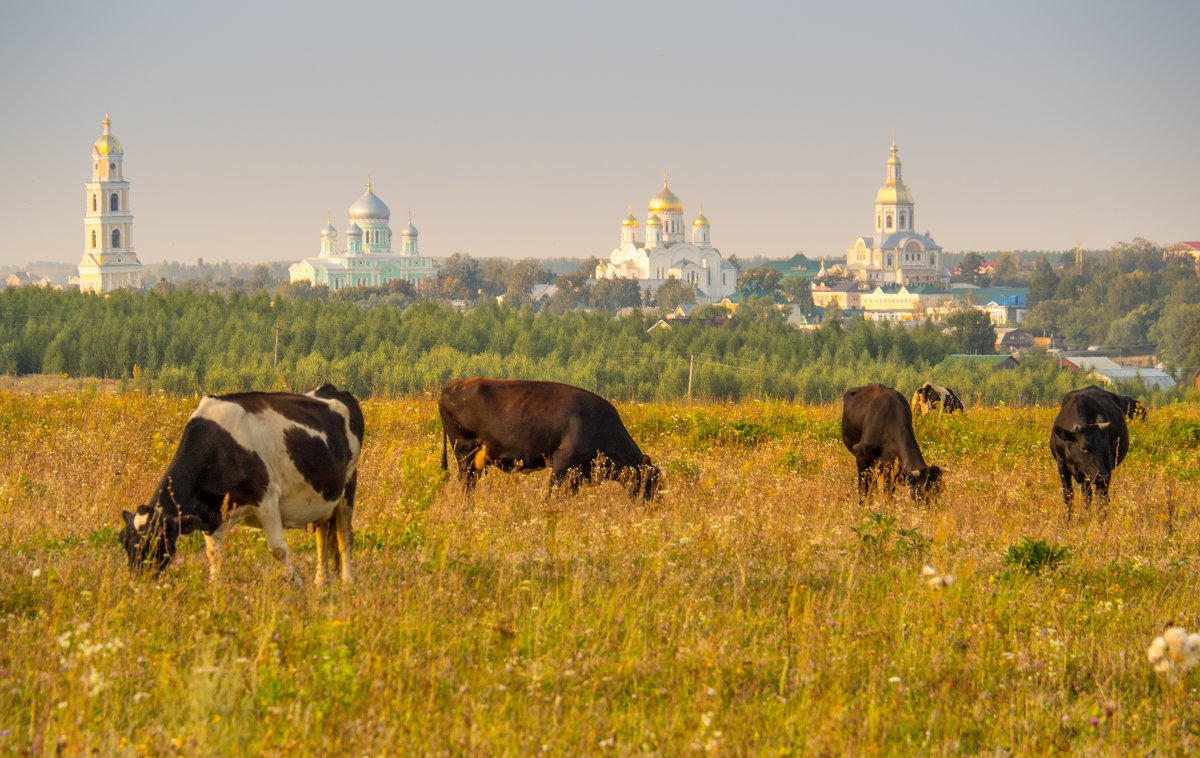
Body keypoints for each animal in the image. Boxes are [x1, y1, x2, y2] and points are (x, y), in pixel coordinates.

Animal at [117, 383, 362, 585]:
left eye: (154, 541)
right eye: (123, 541)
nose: (137, 580)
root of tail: (330, 389)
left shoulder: (266, 497)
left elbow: (278, 549)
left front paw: (297, 584)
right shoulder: (213, 515)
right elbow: (214, 555)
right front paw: (216, 593)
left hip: (348, 486)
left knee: (344, 536)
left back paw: (347, 581)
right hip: (324, 497)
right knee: (322, 536)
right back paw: (321, 581)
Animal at [441, 376, 662, 496]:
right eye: (652, 481)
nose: (653, 505)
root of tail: (453, 385)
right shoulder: (563, 464)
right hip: (465, 452)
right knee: (467, 484)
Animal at [1051, 383, 1123, 515]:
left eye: (1102, 448)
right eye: (1083, 448)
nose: (1102, 475)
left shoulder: (1105, 467)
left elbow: (1101, 499)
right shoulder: (1061, 465)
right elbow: (1068, 496)